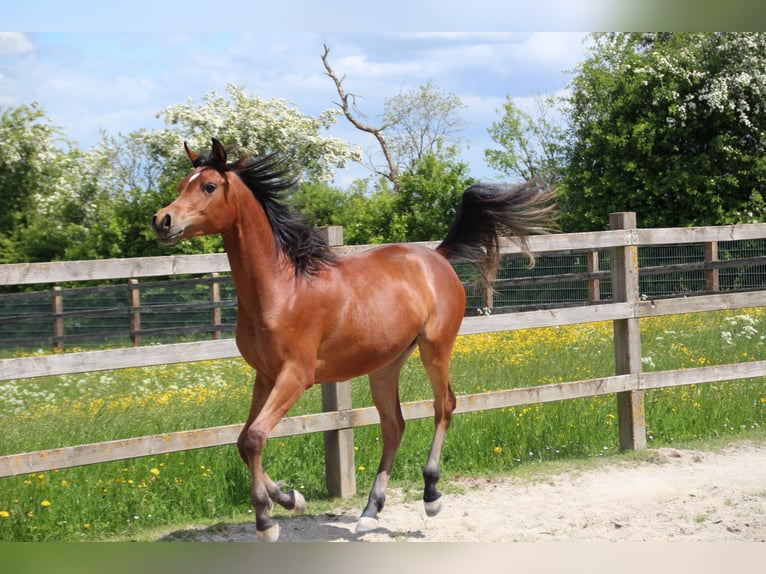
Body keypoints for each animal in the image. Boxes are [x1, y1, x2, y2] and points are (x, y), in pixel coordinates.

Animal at [152, 138, 556, 541]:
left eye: (208, 186)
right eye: (181, 185)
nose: (162, 221)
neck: (282, 289)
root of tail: (436, 257)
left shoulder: (295, 376)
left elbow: (254, 438)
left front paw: (267, 521)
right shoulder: (264, 376)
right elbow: (243, 440)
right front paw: (291, 499)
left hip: (436, 348)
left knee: (444, 407)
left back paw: (431, 495)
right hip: (386, 365)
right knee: (394, 426)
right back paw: (370, 512)